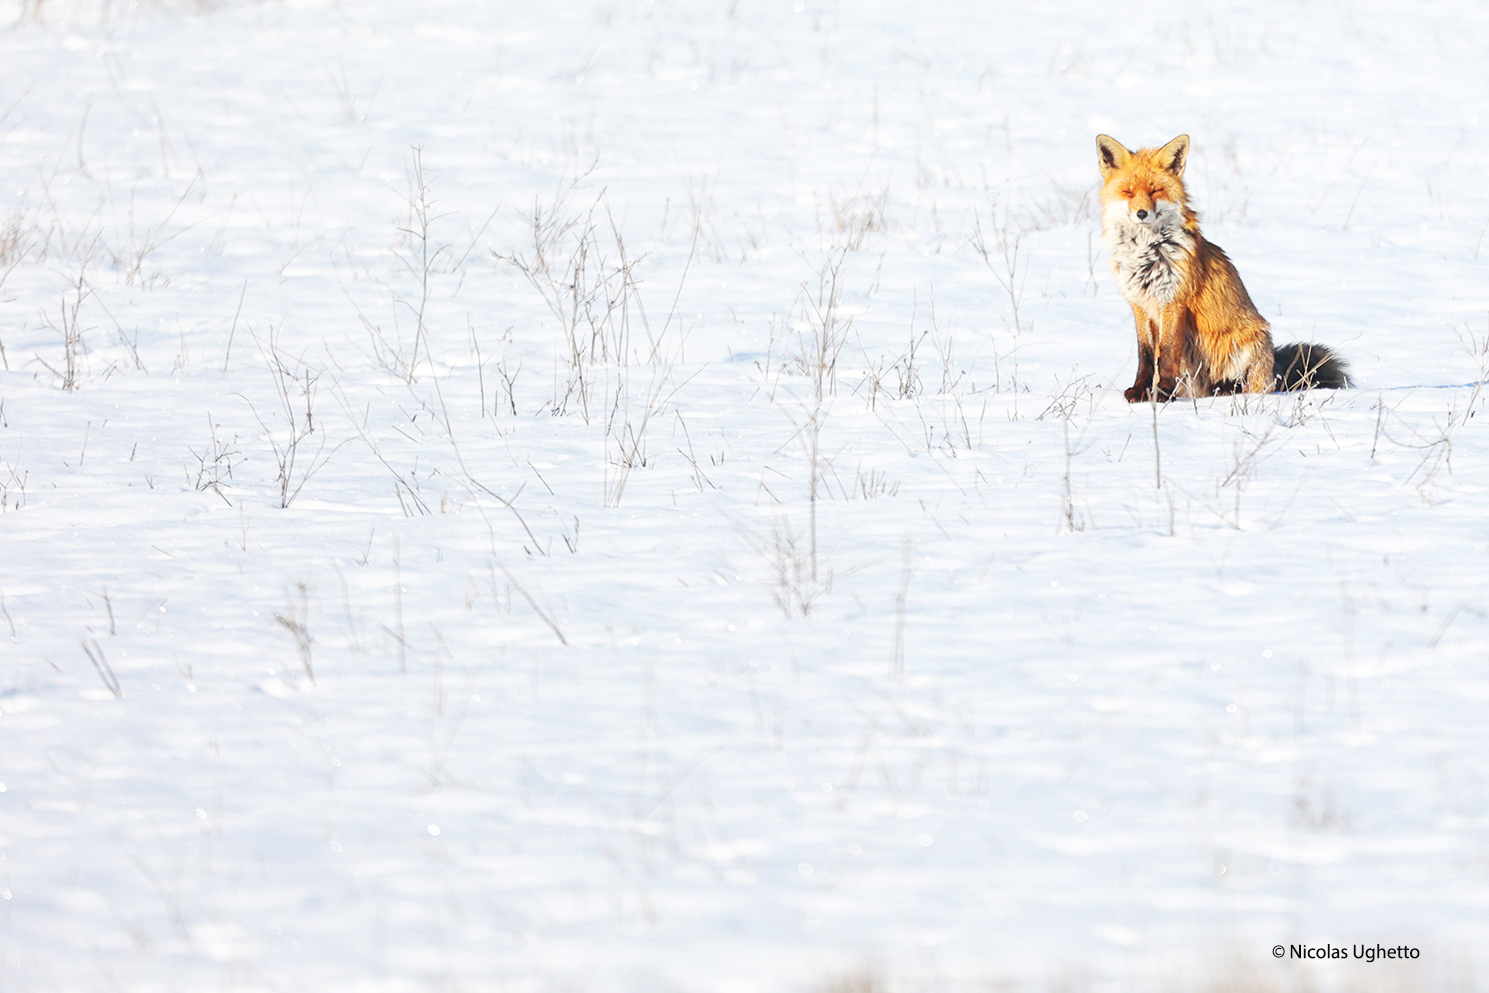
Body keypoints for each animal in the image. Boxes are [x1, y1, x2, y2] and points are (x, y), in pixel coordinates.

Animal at [1096, 133, 1350, 401]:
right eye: (1128, 192)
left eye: (1156, 190)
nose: (1142, 213)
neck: (1146, 251)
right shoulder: (1139, 304)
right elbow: (1145, 356)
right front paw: (1140, 390)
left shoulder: (1173, 300)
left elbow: (1166, 353)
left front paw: (1163, 392)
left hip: (1249, 343)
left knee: (1255, 387)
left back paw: (1231, 390)